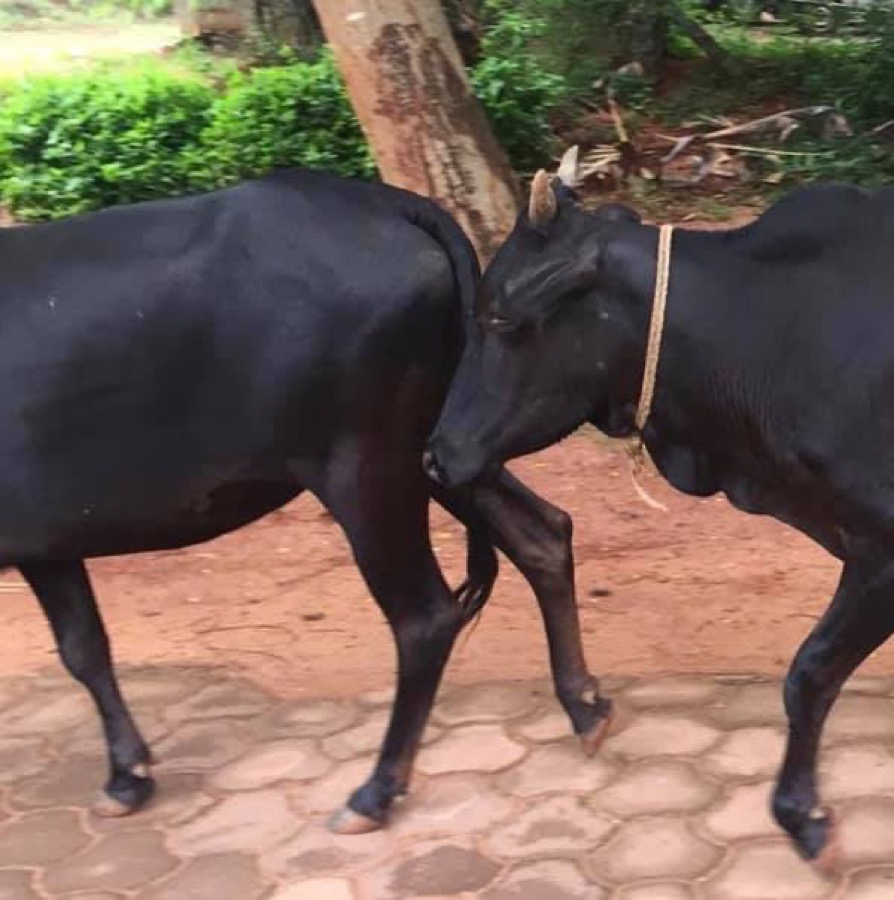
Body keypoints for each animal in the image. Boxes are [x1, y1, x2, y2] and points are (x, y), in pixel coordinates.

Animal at [0, 168, 612, 834]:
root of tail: (383, 201)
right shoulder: (48, 539)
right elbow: (85, 647)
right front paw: (127, 773)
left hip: (363, 472)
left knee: (425, 618)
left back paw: (376, 789)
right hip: (443, 454)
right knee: (542, 534)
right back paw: (584, 705)